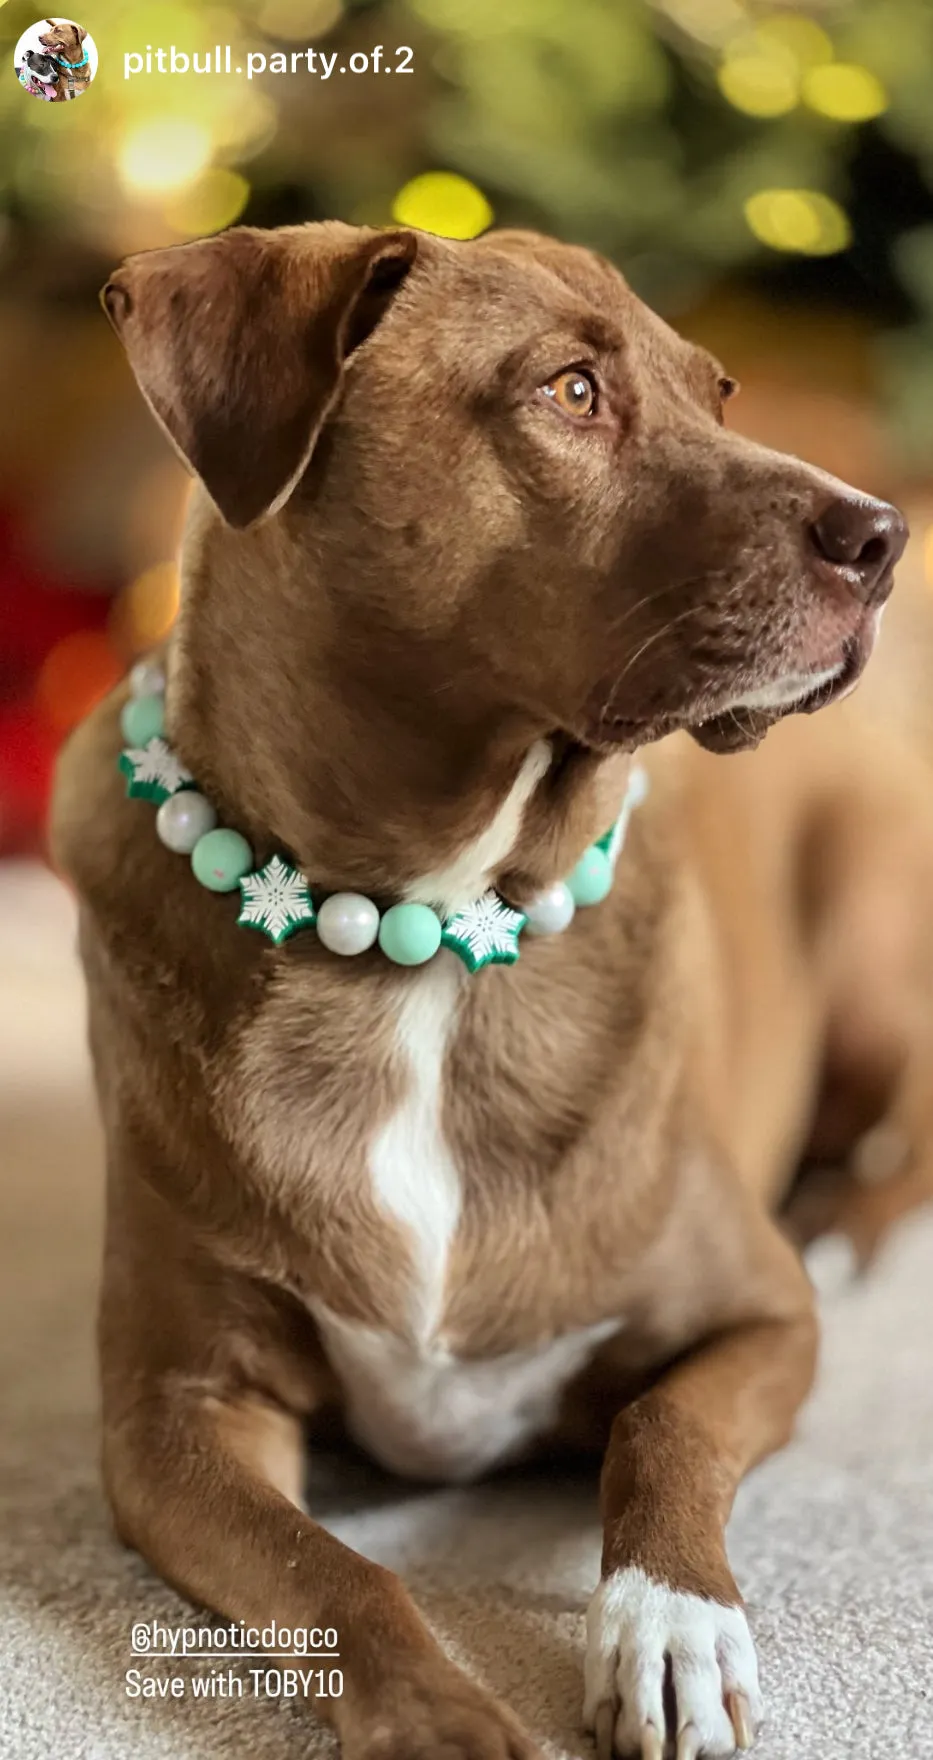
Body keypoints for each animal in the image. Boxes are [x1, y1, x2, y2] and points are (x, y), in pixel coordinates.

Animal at [54, 223, 922, 1760]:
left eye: (719, 390)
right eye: (570, 391)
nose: (880, 537)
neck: (423, 941)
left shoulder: (764, 1320)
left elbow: (660, 1429)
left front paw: (670, 1623)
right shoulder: (172, 1411)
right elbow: (332, 1574)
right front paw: (442, 1719)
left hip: (874, 924)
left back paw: (851, 1225)